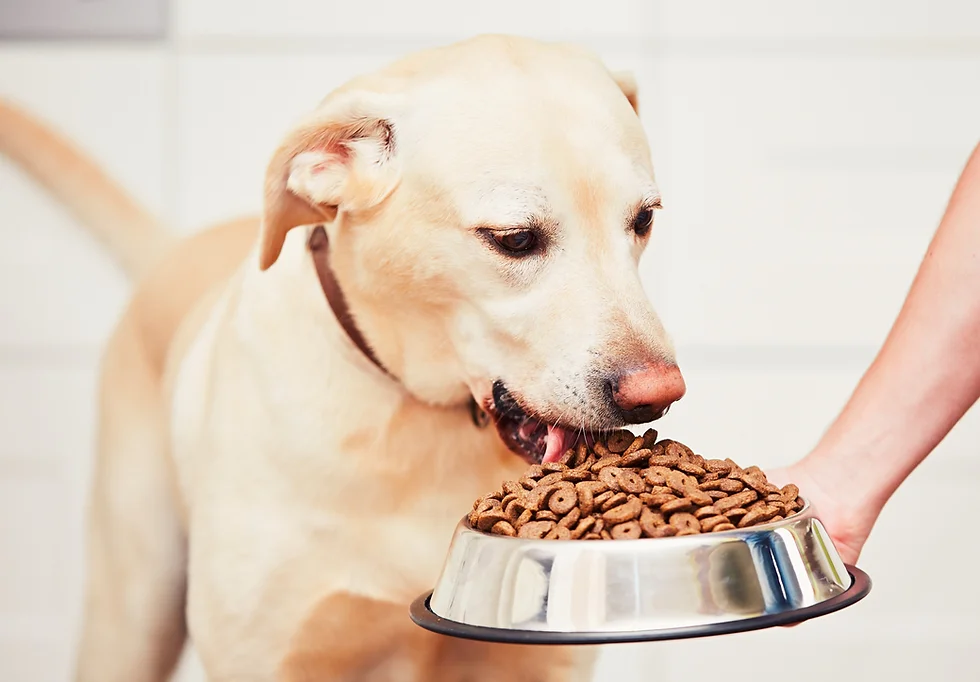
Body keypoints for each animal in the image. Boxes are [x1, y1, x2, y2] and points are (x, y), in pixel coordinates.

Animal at [3, 35, 684, 680]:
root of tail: (175, 248)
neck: (416, 418)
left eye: (643, 221)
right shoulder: (261, 652)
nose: (658, 394)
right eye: (514, 240)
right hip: (131, 617)